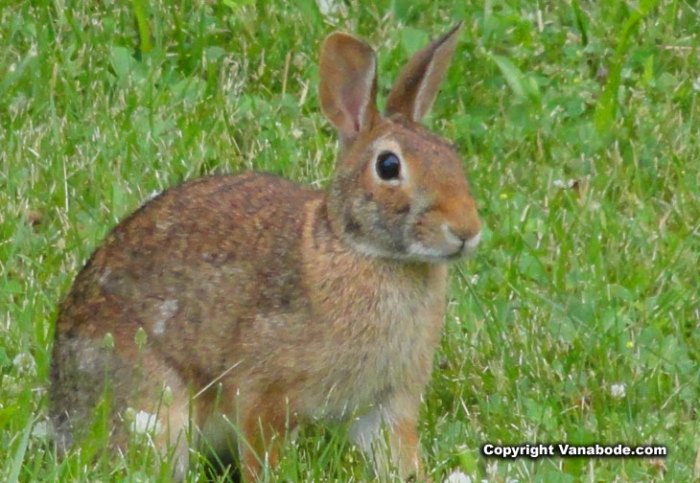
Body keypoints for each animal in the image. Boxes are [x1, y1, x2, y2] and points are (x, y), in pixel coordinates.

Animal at [50, 24, 482, 482]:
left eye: (452, 155)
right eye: (388, 166)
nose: (466, 230)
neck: (364, 251)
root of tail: (61, 413)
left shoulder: (387, 403)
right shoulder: (263, 388)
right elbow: (262, 449)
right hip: (154, 399)